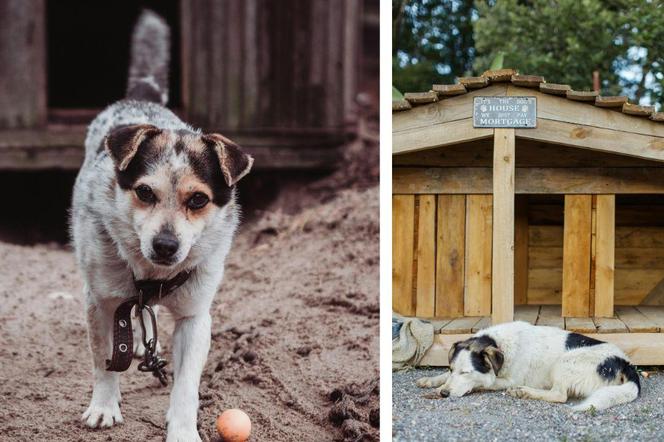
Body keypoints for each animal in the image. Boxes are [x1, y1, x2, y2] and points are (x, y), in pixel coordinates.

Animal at [70, 11, 252, 442]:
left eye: (198, 200)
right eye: (144, 192)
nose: (166, 246)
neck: (152, 275)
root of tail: (142, 99)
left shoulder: (194, 318)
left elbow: (186, 385)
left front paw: (183, 430)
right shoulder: (98, 301)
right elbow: (103, 360)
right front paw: (104, 406)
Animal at [418, 322, 640, 410]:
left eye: (466, 372)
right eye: (452, 369)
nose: (444, 394)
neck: (500, 344)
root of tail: (625, 362)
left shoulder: (506, 380)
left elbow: (484, 382)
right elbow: (443, 377)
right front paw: (432, 380)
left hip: (565, 361)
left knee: (559, 395)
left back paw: (524, 391)